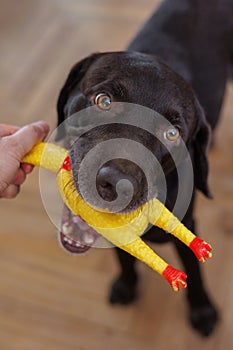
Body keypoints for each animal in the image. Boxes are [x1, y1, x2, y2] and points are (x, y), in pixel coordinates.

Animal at [55, 0, 232, 336]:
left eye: (172, 133)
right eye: (104, 100)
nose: (116, 184)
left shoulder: (186, 226)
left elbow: (194, 270)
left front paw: (202, 312)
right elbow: (124, 259)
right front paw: (126, 286)